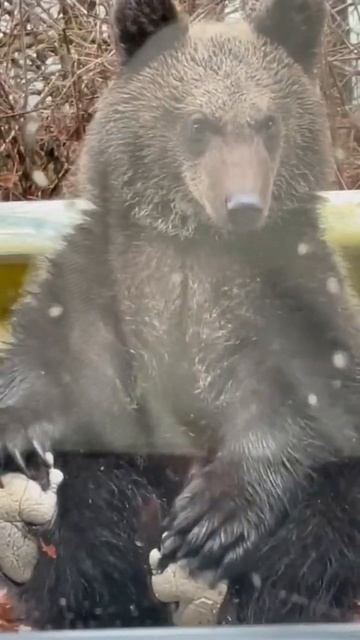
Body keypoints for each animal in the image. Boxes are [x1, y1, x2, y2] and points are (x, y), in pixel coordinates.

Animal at [0, 0, 360, 632]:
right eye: (198, 124)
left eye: (268, 122)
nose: (243, 206)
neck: (196, 245)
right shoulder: (102, 281)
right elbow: (49, 354)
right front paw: (22, 440)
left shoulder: (292, 296)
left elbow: (302, 397)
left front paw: (214, 521)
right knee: (94, 516)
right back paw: (33, 535)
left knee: (325, 529)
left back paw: (216, 595)